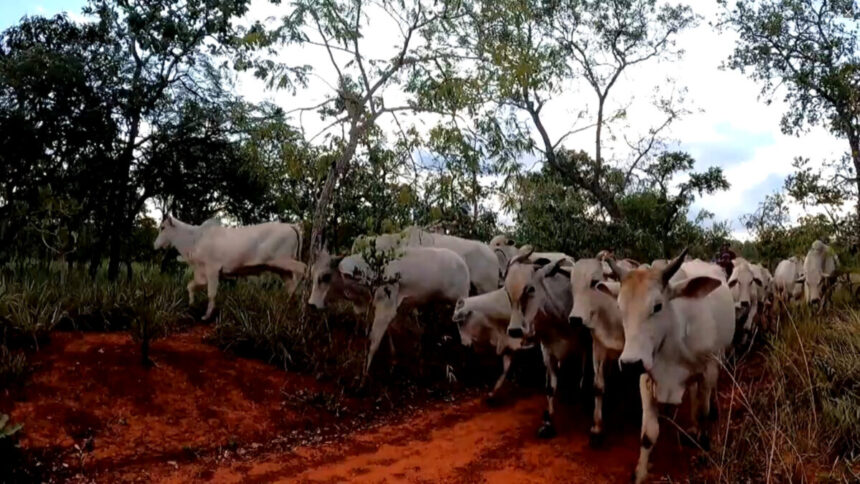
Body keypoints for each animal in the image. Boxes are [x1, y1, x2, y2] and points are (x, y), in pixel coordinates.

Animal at [155, 214, 306, 320]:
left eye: (163, 227)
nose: (155, 245)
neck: (195, 239)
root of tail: (290, 225)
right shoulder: (201, 273)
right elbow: (190, 286)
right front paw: (192, 304)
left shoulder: (212, 269)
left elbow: (211, 293)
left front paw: (206, 316)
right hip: (282, 269)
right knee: (291, 285)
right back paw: (290, 305)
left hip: (282, 261)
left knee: (303, 269)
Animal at [568, 258, 620, 446]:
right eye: (572, 284)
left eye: (594, 282)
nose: (575, 319)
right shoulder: (598, 347)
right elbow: (598, 386)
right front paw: (597, 427)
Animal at [604, 250, 732, 484]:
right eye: (619, 307)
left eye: (657, 306)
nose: (630, 364)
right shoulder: (646, 378)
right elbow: (648, 434)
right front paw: (641, 473)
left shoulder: (708, 369)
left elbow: (704, 412)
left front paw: (703, 445)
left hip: (719, 359)